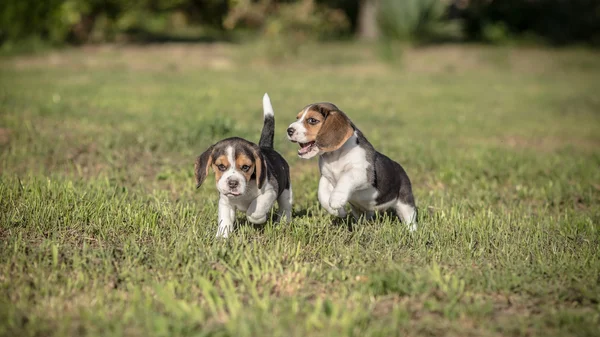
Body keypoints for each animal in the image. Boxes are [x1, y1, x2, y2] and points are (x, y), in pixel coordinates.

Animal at [196, 93, 292, 238]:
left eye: (246, 167)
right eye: (221, 166)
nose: (233, 183)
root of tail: (266, 147)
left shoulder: (270, 190)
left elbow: (255, 210)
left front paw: (259, 218)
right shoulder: (225, 201)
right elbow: (224, 221)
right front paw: (221, 238)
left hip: (286, 191)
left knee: (285, 207)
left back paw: (282, 222)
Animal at [286, 101, 418, 231]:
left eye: (312, 120)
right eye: (298, 118)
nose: (289, 130)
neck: (335, 155)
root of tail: (401, 169)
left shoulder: (361, 172)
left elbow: (346, 177)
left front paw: (336, 200)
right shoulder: (326, 176)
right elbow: (321, 193)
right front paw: (337, 211)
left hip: (405, 203)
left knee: (410, 219)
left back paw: (411, 232)